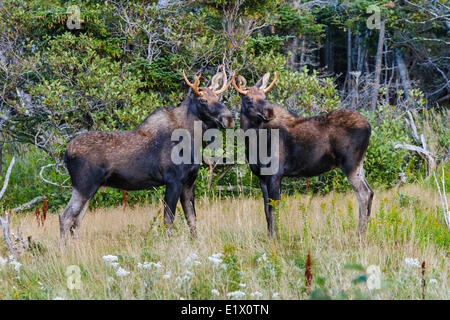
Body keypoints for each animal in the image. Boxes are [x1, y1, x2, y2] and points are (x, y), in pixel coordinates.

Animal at [59, 67, 234, 242]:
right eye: (203, 100)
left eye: (217, 97)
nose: (229, 118)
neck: (193, 139)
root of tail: (66, 153)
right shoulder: (173, 180)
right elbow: (168, 219)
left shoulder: (189, 182)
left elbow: (191, 218)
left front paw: (195, 241)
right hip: (84, 185)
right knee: (66, 216)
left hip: (91, 188)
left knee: (77, 220)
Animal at [232, 72, 372, 238]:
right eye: (248, 99)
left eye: (264, 95)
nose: (269, 112)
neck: (252, 140)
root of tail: (369, 126)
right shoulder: (261, 177)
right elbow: (266, 210)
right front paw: (269, 237)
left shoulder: (275, 174)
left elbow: (274, 209)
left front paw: (275, 238)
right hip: (359, 165)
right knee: (370, 192)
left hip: (350, 164)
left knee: (363, 193)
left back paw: (360, 233)